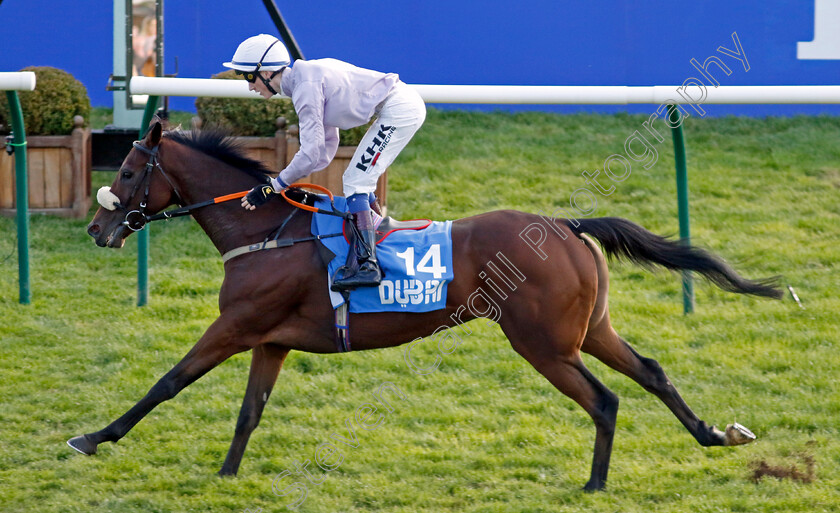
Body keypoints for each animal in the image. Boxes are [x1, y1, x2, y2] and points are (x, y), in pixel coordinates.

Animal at [70, 118, 780, 490]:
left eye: (128, 171)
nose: (98, 230)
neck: (266, 233)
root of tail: (564, 224)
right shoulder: (270, 340)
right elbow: (249, 412)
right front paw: (225, 475)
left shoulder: (236, 326)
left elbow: (168, 382)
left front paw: (93, 437)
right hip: (588, 330)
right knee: (652, 372)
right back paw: (715, 434)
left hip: (544, 343)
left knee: (604, 400)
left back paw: (596, 483)